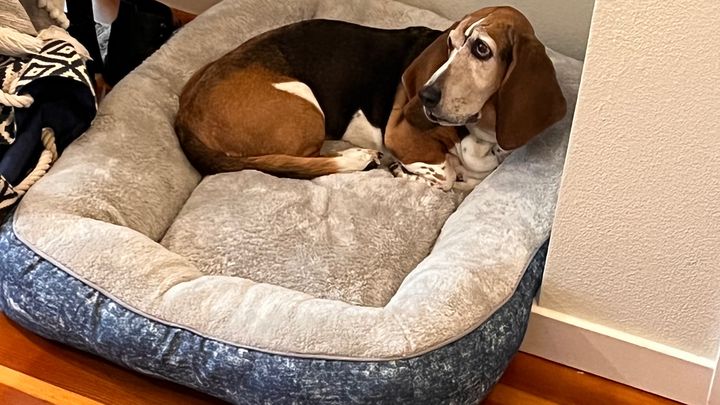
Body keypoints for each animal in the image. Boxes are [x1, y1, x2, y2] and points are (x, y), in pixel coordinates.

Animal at [385, 6, 567, 190]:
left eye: (481, 48)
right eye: (450, 42)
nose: (425, 96)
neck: (486, 138)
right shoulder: (399, 135)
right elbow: (447, 177)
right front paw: (403, 172)